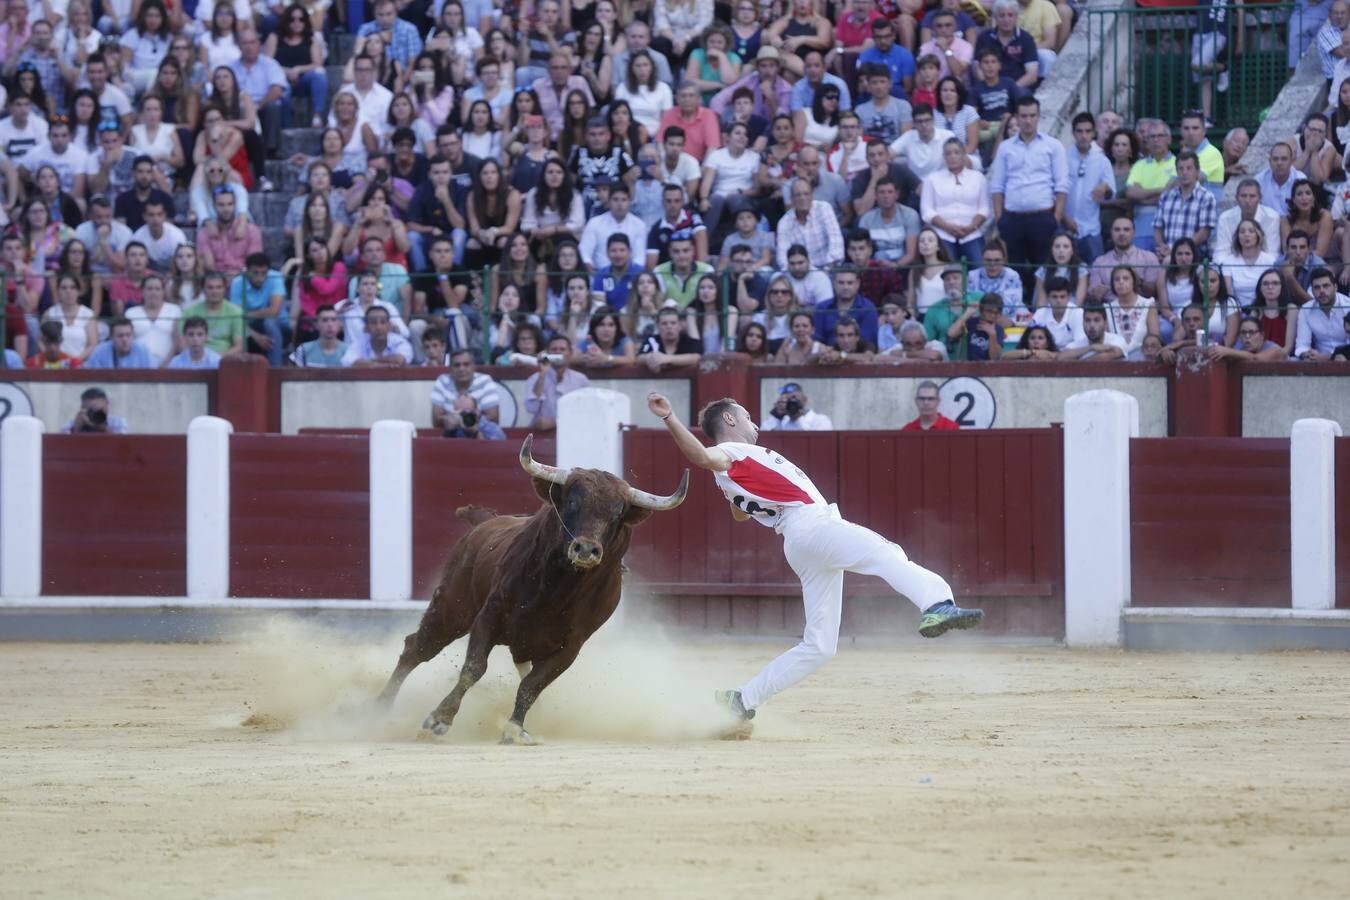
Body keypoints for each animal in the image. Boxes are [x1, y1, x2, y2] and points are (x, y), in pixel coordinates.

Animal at [378, 431, 685, 744]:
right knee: (416, 649)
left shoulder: (571, 646)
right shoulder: (489, 616)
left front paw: (514, 728)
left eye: (617, 513)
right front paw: (440, 718)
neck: (561, 588)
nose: (586, 549)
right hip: (452, 609)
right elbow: (474, 668)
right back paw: (379, 707)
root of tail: (484, 524)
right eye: (572, 502)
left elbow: (532, 686)